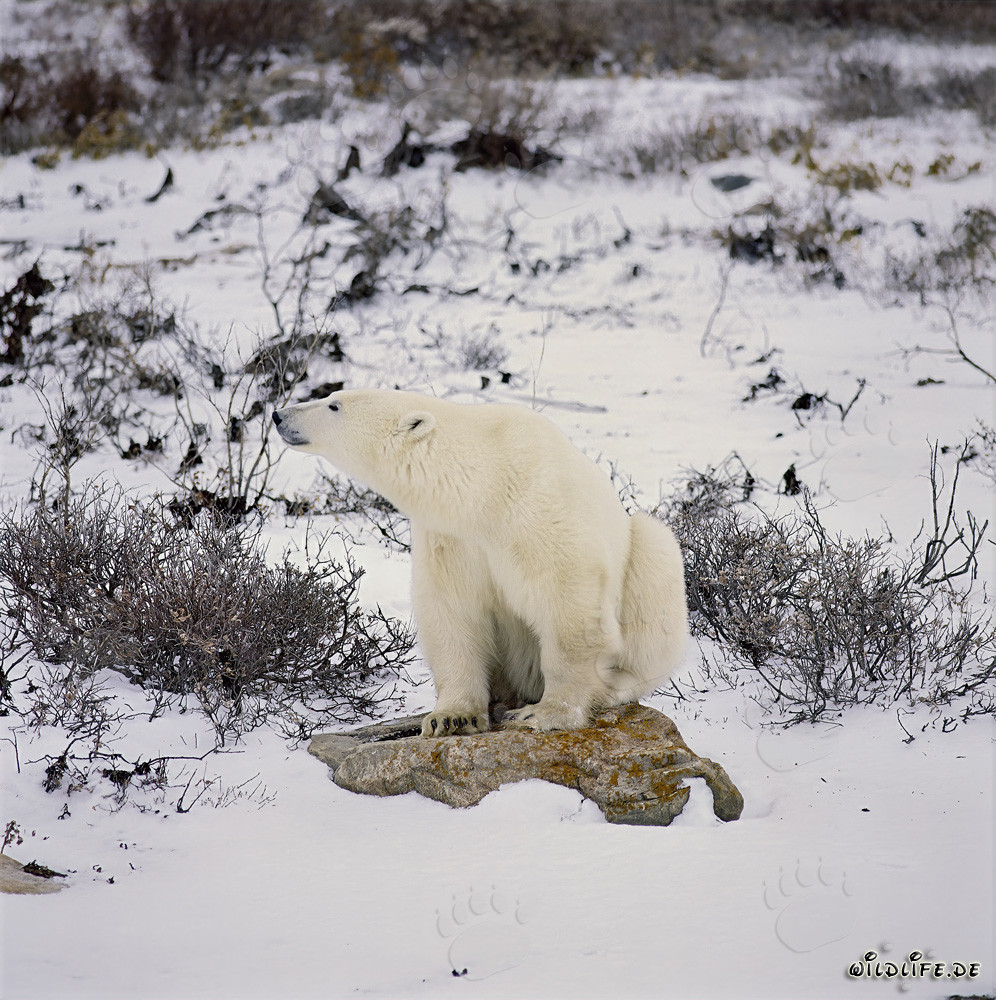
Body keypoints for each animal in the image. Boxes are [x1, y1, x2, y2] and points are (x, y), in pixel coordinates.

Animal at [272, 389, 688, 736]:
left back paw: (612, 686)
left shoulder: (539, 513)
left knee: (655, 558)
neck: (485, 486)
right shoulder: (452, 539)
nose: (278, 414)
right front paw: (452, 717)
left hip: (643, 556)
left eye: (333, 404)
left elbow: (568, 607)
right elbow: (453, 613)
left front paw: (545, 713)